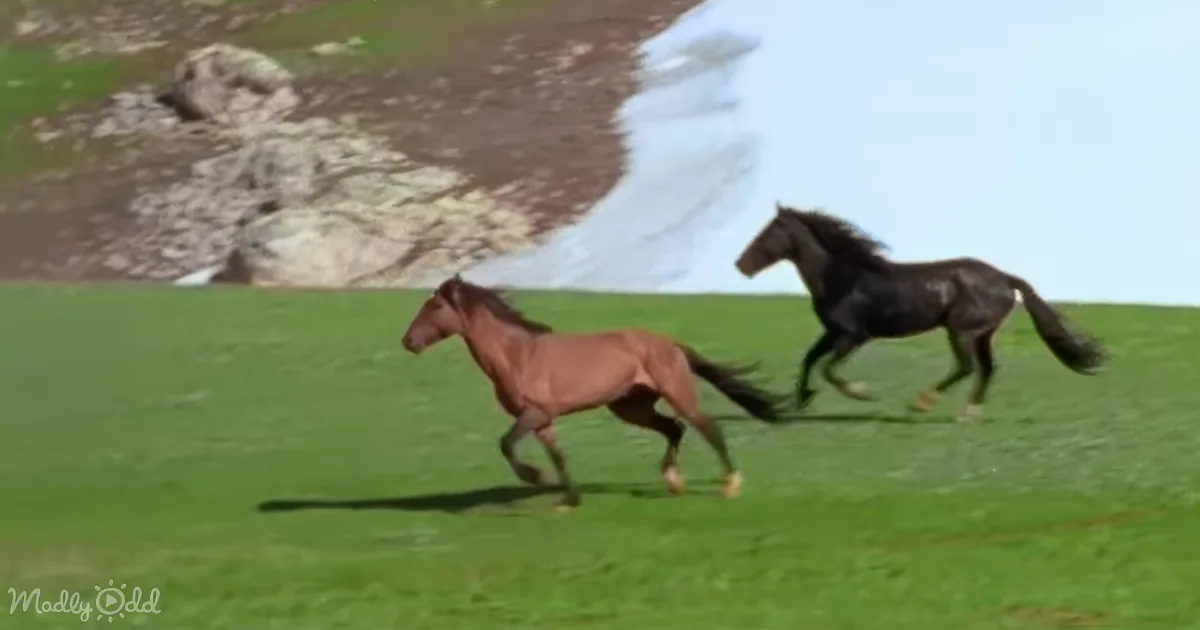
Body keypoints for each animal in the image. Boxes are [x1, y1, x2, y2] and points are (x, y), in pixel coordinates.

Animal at [400, 274, 789, 509]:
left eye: (435, 306)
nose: (408, 341)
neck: (518, 355)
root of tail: (669, 343)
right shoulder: (543, 420)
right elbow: (557, 456)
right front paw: (568, 499)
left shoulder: (535, 413)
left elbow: (507, 444)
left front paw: (534, 478)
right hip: (631, 407)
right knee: (674, 428)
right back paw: (674, 481)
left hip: (676, 394)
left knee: (707, 427)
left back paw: (729, 485)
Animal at [733, 203, 1109, 422]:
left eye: (766, 234)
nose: (740, 265)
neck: (842, 276)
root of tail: (1006, 278)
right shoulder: (832, 332)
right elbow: (810, 359)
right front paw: (802, 401)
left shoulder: (854, 335)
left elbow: (828, 368)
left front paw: (862, 392)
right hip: (981, 334)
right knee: (986, 369)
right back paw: (969, 411)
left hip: (961, 331)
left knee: (967, 367)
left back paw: (923, 403)